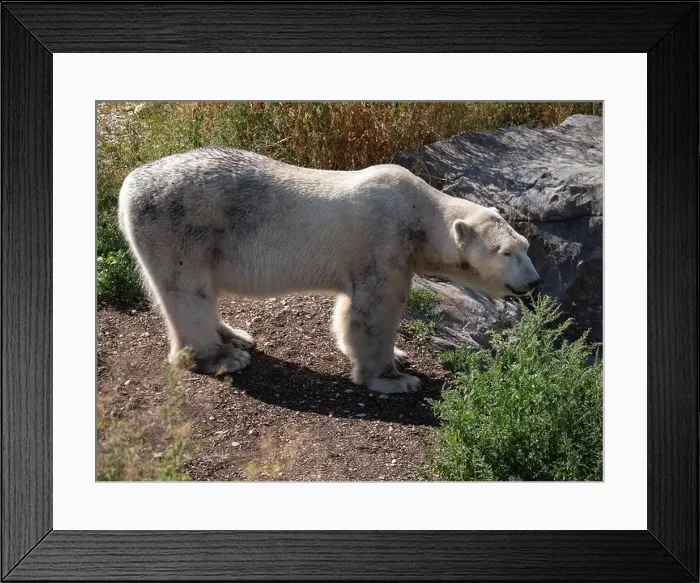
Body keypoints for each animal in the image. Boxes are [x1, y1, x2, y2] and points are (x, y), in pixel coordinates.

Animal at [118, 147, 540, 394]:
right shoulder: (385, 243)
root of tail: (126, 187)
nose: (534, 281)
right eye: (505, 252)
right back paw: (223, 357)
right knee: (188, 292)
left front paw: (396, 354)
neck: (418, 213)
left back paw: (236, 336)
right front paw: (395, 378)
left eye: (525, 246)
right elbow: (376, 312)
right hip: (180, 229)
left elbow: (349, 309)